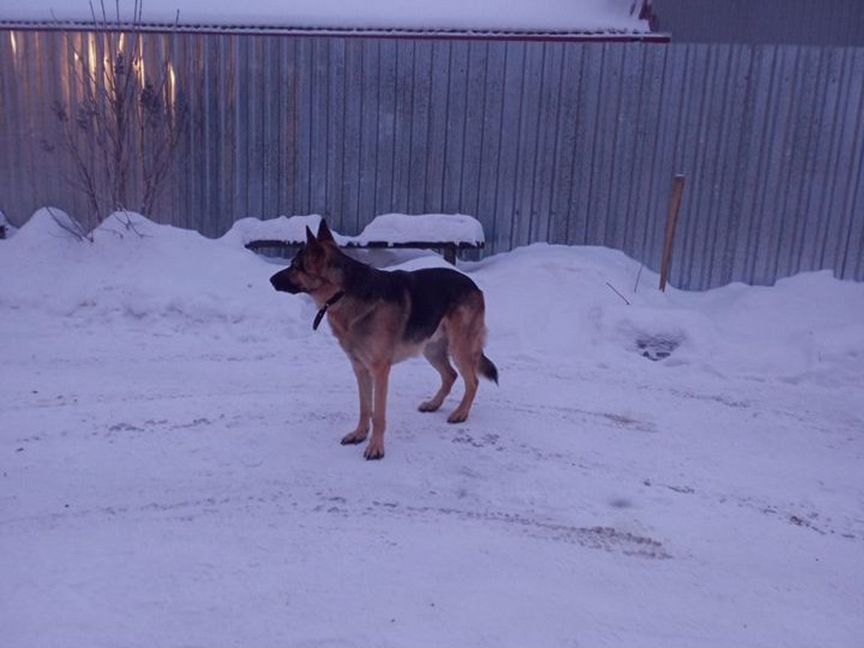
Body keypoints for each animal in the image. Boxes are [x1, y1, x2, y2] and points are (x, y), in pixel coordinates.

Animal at [270, 221, 500, 460]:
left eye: (295, 266)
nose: (270, 280)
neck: (342, 291)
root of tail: (473, 285)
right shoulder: (360, 368)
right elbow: (365, 408)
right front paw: (359, 434)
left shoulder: (380, 370)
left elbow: (378, 414)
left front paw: (376, 447)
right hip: (431, 349)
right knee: (451, 375)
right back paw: (434, 404)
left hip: (459, 347)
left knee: (472, 381)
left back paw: (460, 413)